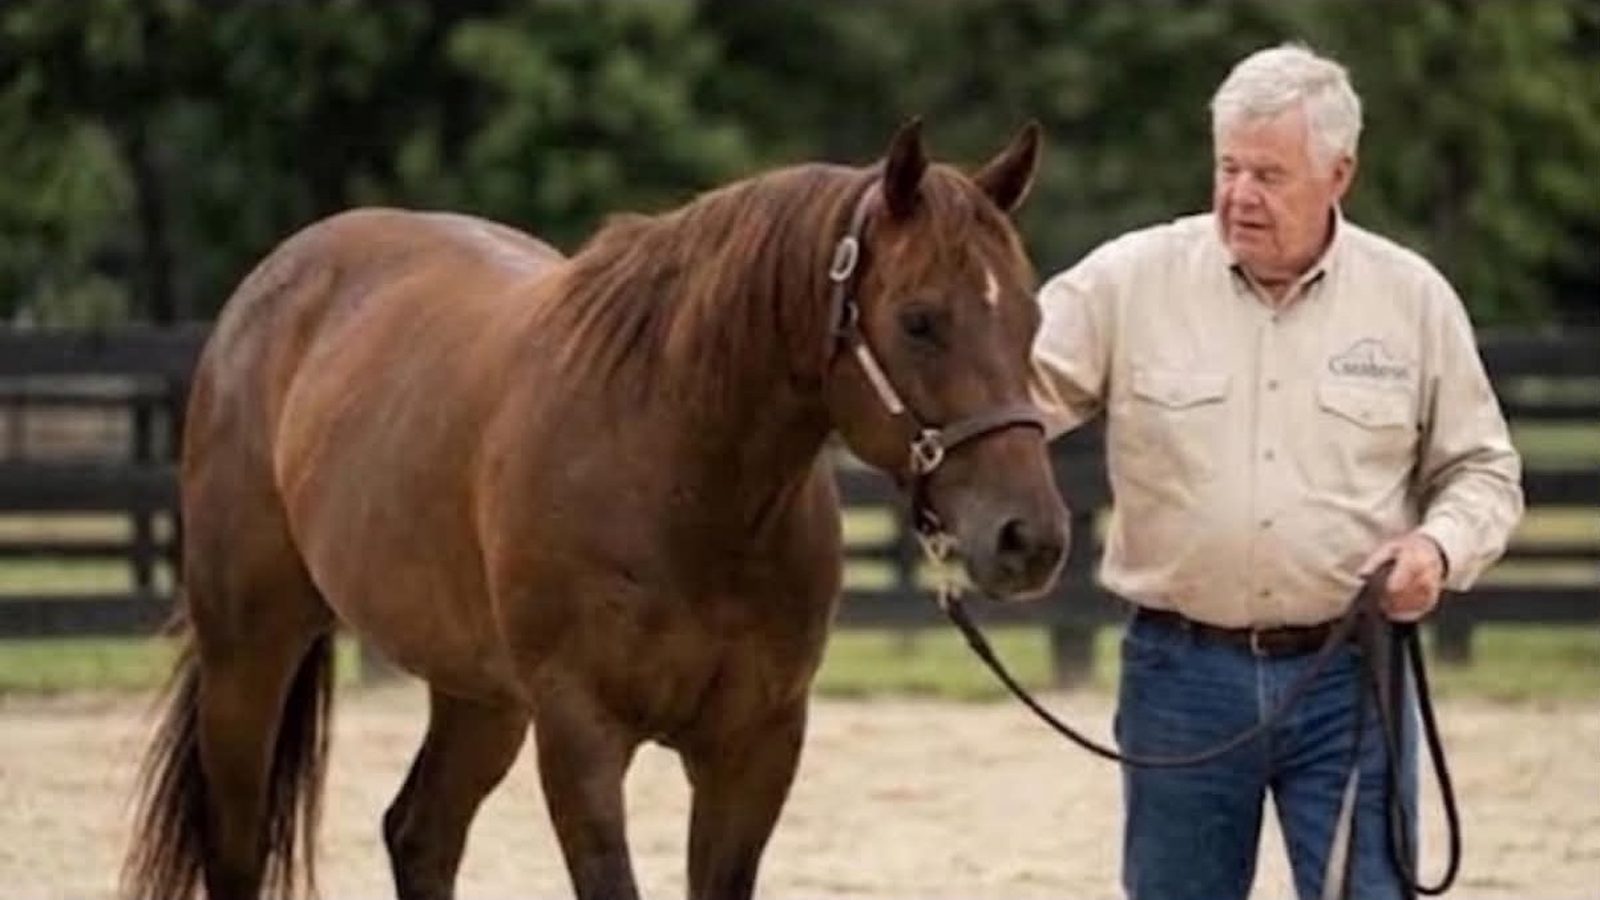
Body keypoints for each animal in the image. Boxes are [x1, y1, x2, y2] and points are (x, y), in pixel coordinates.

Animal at [123, 119, 1069, 900]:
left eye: (1031, 316)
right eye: (919, 321)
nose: (1030, 538)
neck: (680, 484)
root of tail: (273, 287)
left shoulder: (756, 743)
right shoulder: (581, 734)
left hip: (479, 694)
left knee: (420, 835)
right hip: (251, 651)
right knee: (239, 850)